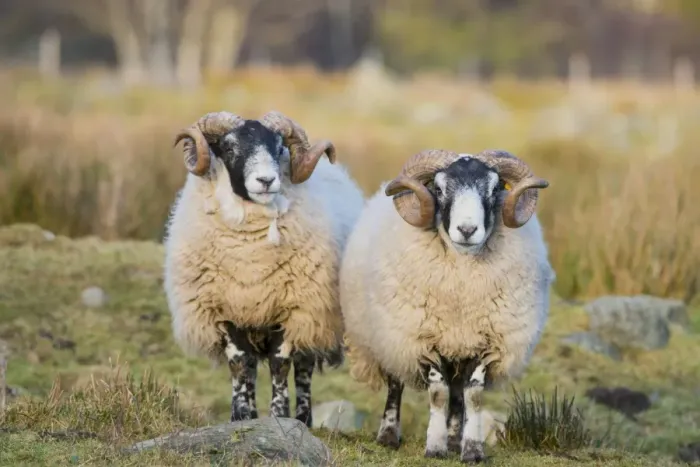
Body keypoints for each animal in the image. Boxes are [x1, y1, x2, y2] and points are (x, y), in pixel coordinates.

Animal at [164, 110, 365, 427]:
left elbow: (280, 365)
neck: (250, 261)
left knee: (304, 368)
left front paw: (280, 416)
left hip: (313, 318)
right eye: (229, 147)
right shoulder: (225, 311)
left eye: (279, 147)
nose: (267, 180)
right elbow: (239, 364)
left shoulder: (291, 309)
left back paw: (303, 419)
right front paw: (242, 416)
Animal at [339, 148, 554, 463]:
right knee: (396, 384)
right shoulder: (424, 340)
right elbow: (438, 393)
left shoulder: (483, 342)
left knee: (457, 393)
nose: (467, 229)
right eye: (439, 189)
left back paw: (455, 440)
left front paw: (471, 450)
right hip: (390, 337)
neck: (461, 287)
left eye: (494, 189)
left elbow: (472, 396)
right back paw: (389, 435)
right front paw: (435, 447)